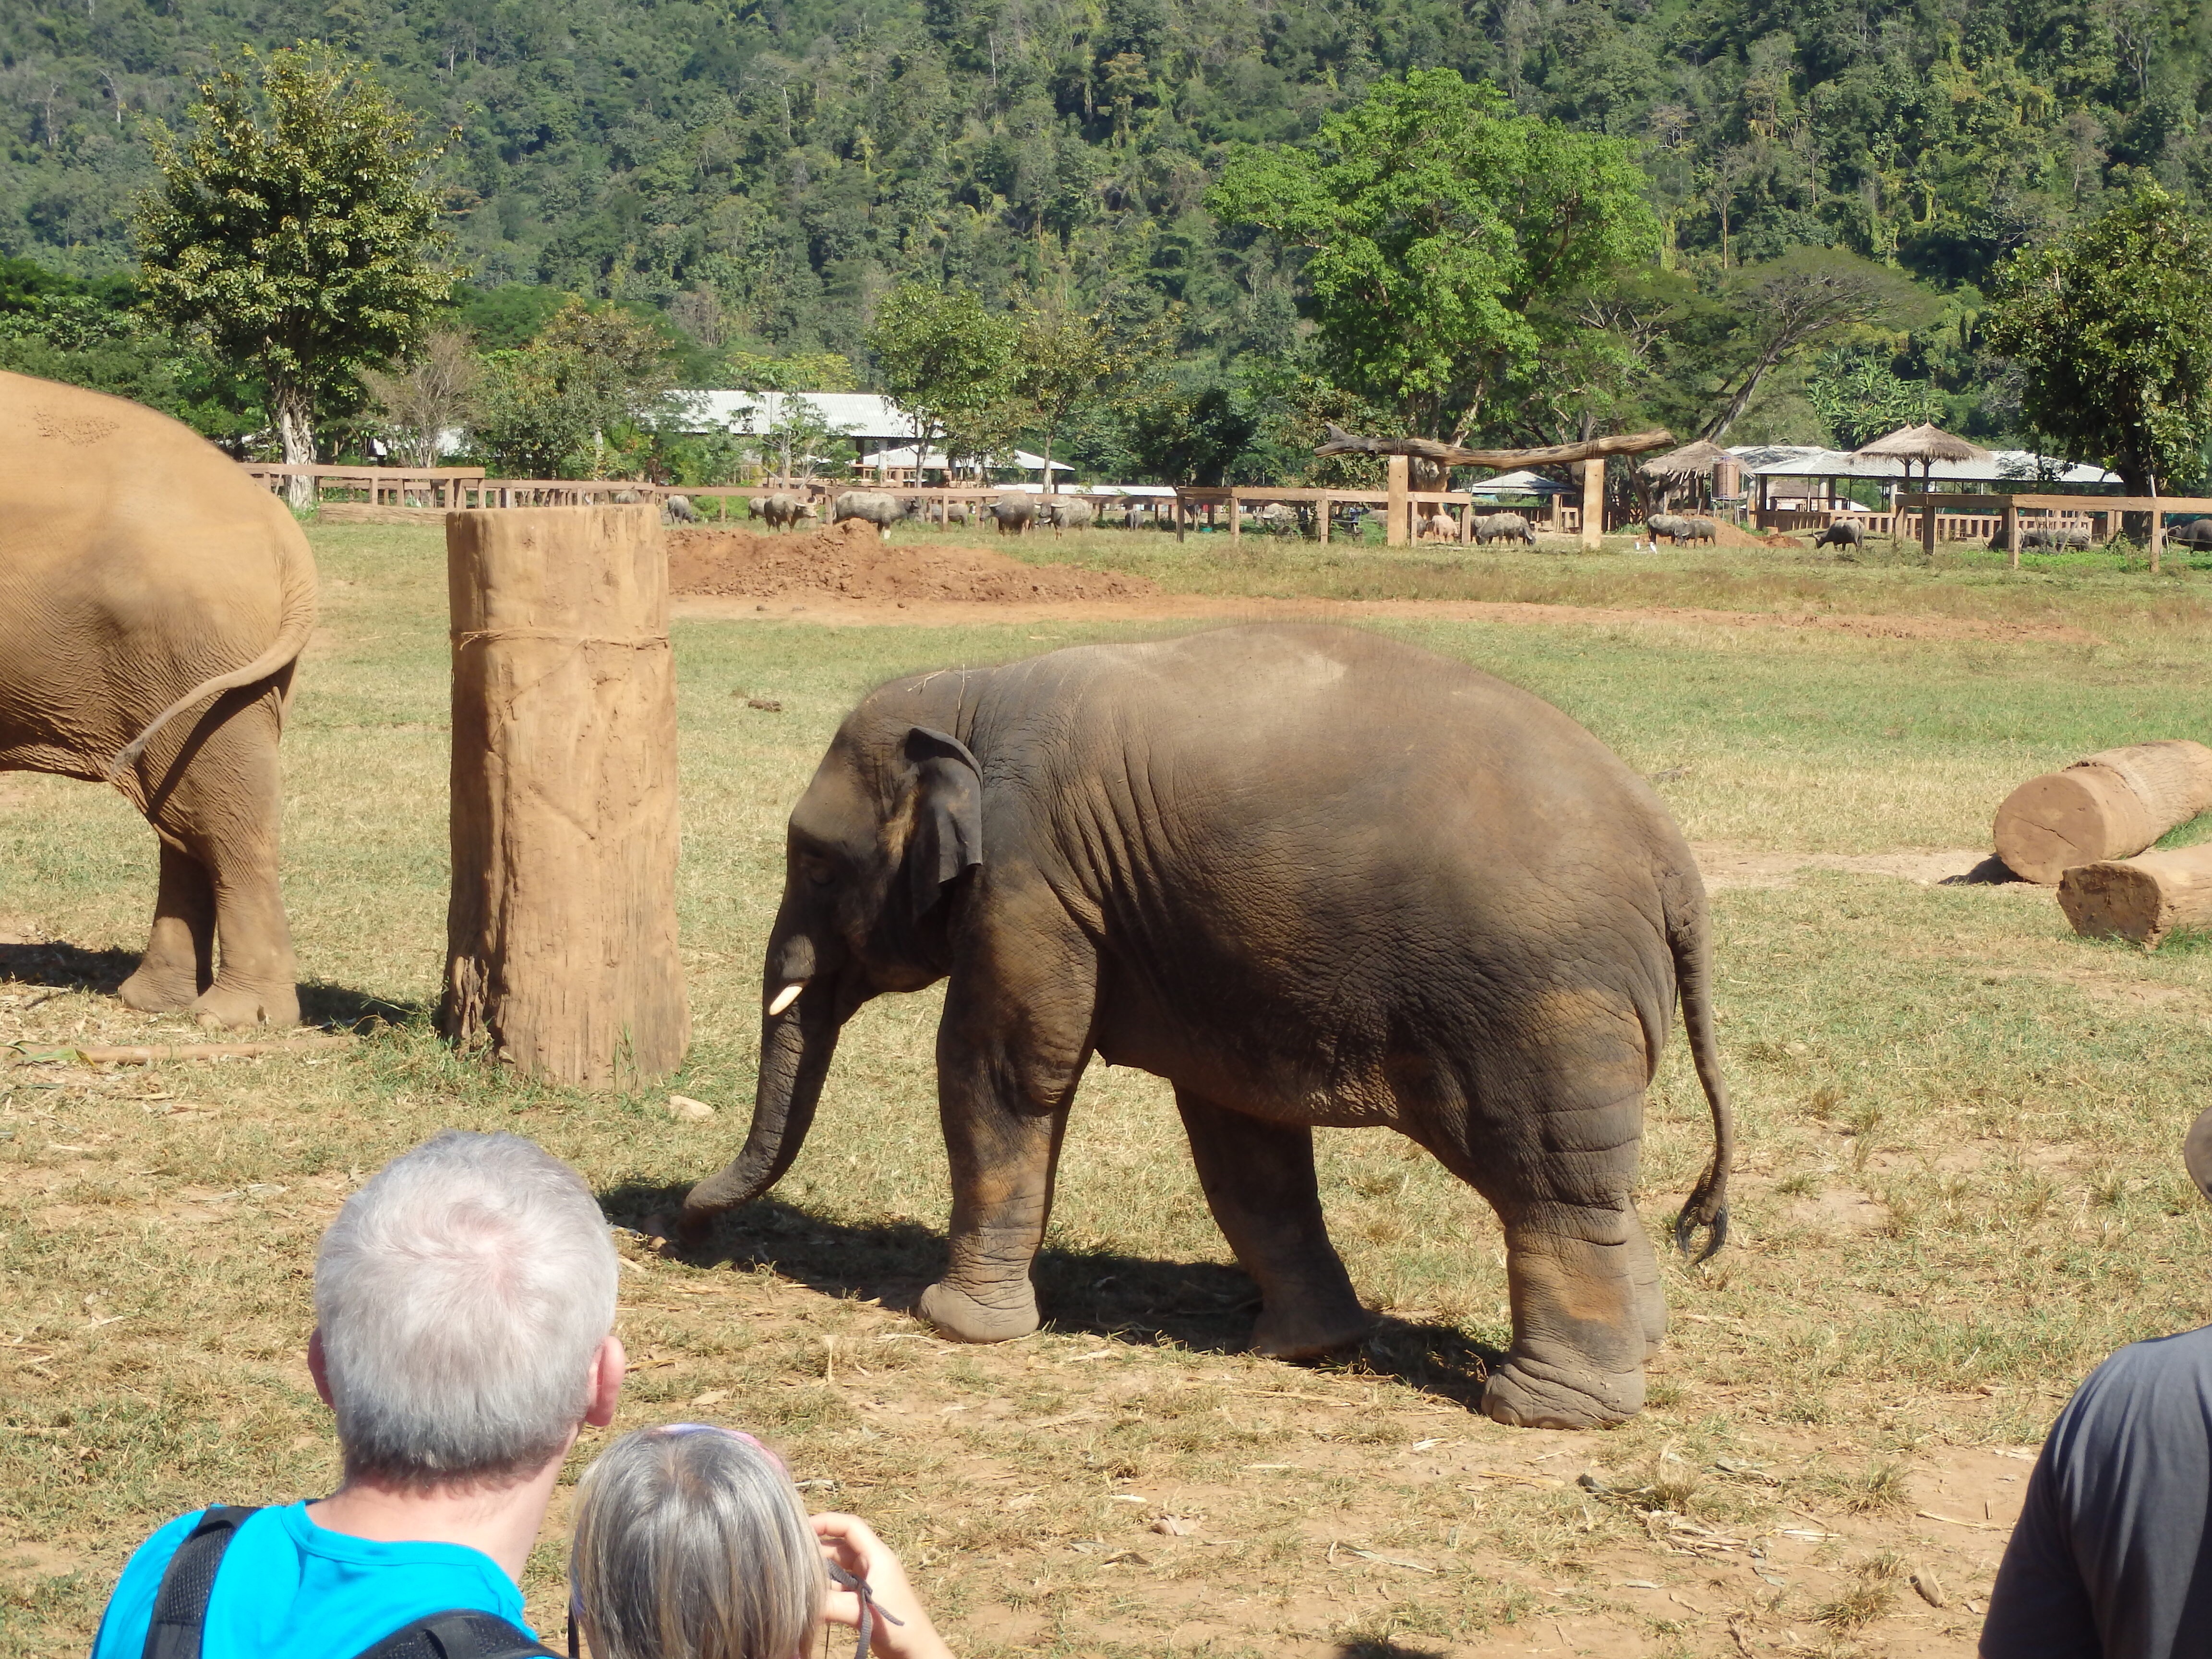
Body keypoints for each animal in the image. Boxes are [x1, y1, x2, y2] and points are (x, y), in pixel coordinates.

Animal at [0, 371, 316, 1027]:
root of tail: (282, 530)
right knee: (185, 816)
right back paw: (155, 1002)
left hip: (195, 653)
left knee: (221, 821)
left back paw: (231, 1017)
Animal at [680, 623, 1733, 1430]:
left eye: (814, 859)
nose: (685, 1222)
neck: (974, 690)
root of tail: (1672, 862)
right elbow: (1237, 1128)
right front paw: (1305, 1347)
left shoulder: (1031, 881)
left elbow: (1006, 1070)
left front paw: (954, 1323)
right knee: (1599, 1185)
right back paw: (1641, 1349)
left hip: (1541, 1010)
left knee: (1551, 1185)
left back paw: (1546, 1412)